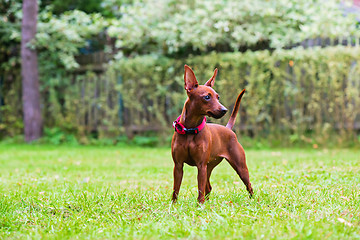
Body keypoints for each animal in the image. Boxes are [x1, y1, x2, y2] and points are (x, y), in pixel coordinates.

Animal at [172, 64, 253, 203]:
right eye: (207, 97)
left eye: (218, 97)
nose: (224, 110)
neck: (190, 130)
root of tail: (228, 129)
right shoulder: (178, 166)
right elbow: (176, 189)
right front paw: (173, 205)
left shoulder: (201, 166)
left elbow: (200, 189)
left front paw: (200, 205)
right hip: (209, 167)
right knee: (208, 187)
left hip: (240, 167)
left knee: (249, 185)